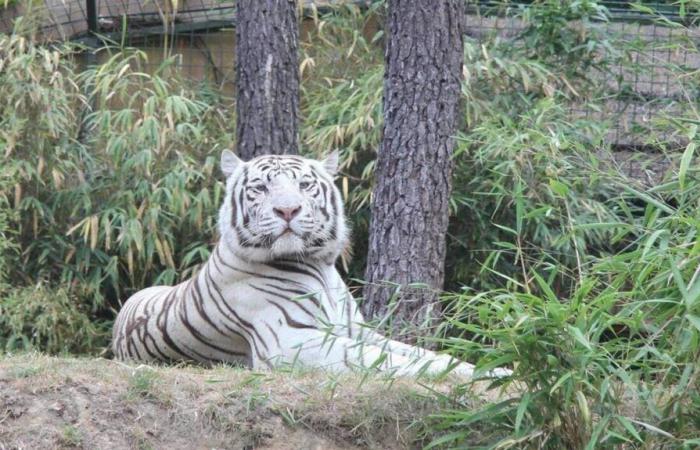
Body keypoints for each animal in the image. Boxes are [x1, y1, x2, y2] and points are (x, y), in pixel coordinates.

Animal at [113, 152, 508, 380]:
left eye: (304, 185)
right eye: (260, 188)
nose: (287, 210)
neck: (319, 265)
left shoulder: (358, 331)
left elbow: (422, 352)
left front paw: (497, 367)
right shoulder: (289, 343)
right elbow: (381, 359)